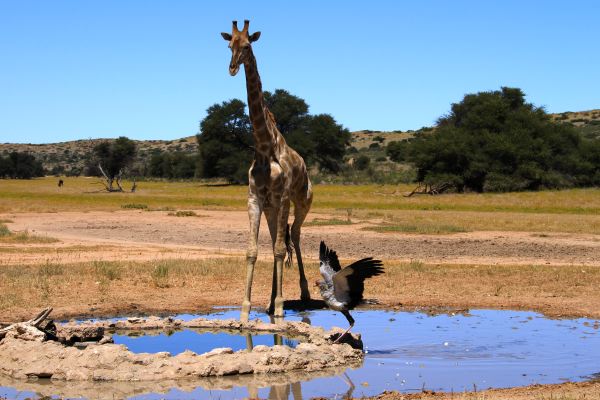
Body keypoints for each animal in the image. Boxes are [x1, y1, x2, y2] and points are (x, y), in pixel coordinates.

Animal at [221, 20, 314, 322]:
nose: (232, 68)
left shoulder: (283, 197)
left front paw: (283, 307)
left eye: (247, 46)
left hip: (302, 202)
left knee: (292, 236)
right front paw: (246, 308)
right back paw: (272, 301)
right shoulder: (255, 199)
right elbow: (253, 251)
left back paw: (303, 293)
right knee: (279, 239)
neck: (264, 147)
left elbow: (279, 250)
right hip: (273, 208)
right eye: (230, 45)